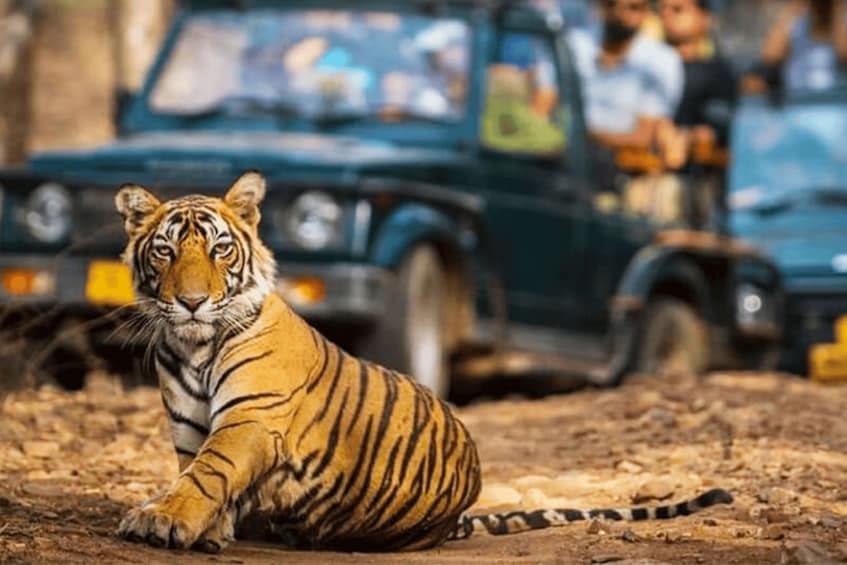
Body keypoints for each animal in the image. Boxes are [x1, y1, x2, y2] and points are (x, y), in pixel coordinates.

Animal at [114, 170, 734, 553]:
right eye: (165, 251)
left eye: (220, 249)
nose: (192, 302)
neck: (193, 345)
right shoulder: (190, 426)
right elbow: (196, 473)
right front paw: (203, 528)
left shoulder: (251, 418)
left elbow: (207, 474)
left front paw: (162, 520)